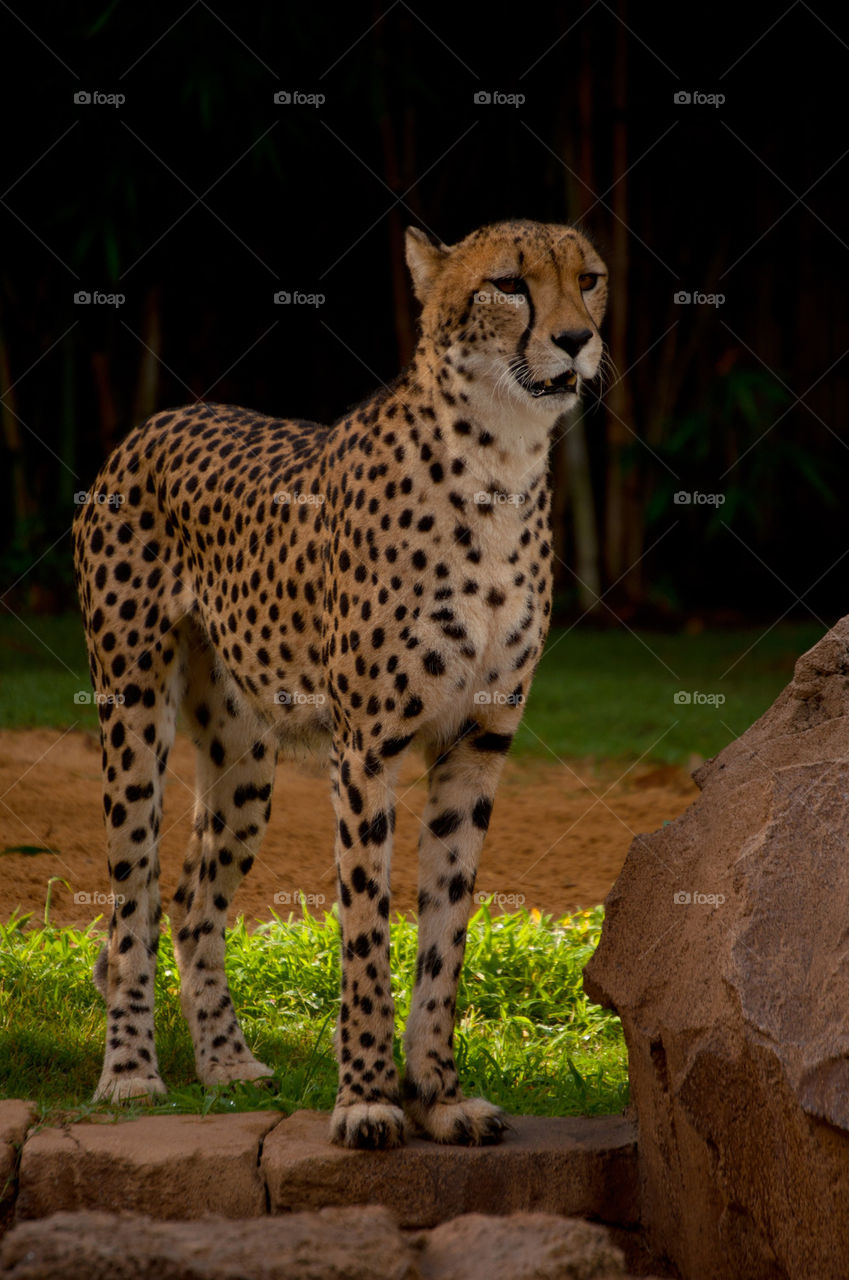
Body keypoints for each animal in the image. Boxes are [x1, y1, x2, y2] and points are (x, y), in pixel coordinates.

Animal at [72, 218, 608, 1149]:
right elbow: (365, 930)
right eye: (509, 284)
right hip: (132, 710)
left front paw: (438, 1095)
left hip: (245, 757)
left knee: (192, 899)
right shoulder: (365, 747)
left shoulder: (478, 743)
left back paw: (226, 1063)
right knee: (130, 897)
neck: (500, 464)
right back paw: (132, 1075)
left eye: (590, 279)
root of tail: (163, 417)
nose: (577, 338)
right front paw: (364, 1098)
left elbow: (445, 933)